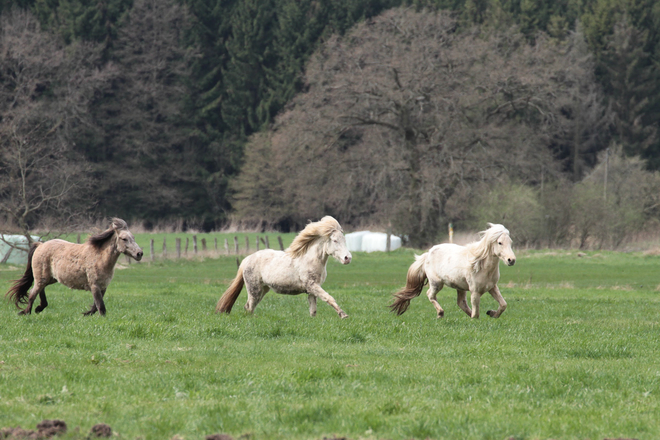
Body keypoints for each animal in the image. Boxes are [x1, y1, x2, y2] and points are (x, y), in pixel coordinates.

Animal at [6, 217, 143, 314]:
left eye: (133, 237)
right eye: (124, 239)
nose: (139, 253)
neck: (99, 258)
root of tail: (40, 245)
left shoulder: (103, 287)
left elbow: (95, 307)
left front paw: (86, 313)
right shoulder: (95, 286)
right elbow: (101, 307)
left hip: (50, 278)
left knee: (39, 290)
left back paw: (39, 308)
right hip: (42, 277)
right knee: (32, 294)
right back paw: (27, 312)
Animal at [215, 218, 350, 318]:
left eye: (344, 239)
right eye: (335, 240)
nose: (347, 258)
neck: (310, 260)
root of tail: (246, 260)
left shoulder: (312, 289)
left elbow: (313, 310)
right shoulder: (312, 285)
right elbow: (329, 298)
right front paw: (343, 315)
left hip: (263, 289)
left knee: (250, 307)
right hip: (254, 289)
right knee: (249, 307)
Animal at [390, 225, 520, 318]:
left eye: (510, 242)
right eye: (500, 242)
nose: (511, 260)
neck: (482, 267)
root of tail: (427, 254)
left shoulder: (492, 287)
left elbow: (503, 304)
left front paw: (492, 313)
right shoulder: (475, 291)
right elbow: (476, 313)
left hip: (460, 287)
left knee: (461, 303)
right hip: (436, 283)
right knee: (430, 295)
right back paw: (440, 313)